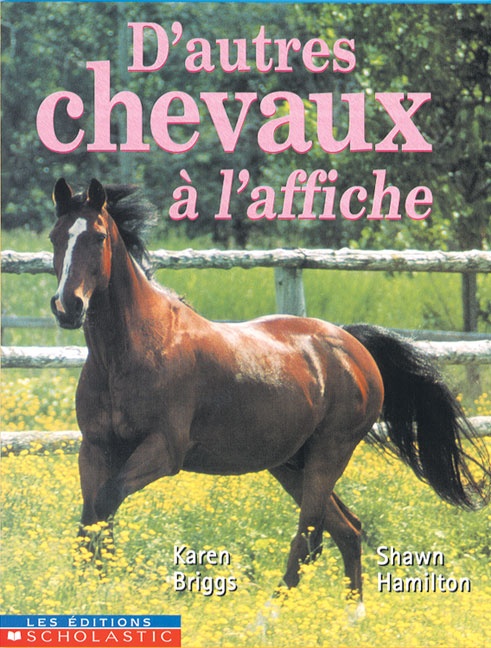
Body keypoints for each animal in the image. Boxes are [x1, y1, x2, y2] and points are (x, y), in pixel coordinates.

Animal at [50, 177, 489, 614]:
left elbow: (105, 503)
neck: (132, 350)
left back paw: (266, 618)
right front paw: (84, 594)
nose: (67, 307)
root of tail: (353, 345)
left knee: (310, 538)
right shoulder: (95, 448)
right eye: (56, 237)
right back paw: (352, 618)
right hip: (291, 464)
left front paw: (99, 590)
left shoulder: (164, 450)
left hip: (329, 454)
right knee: (348, 529)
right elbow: (92, 516)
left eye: (98, 237)